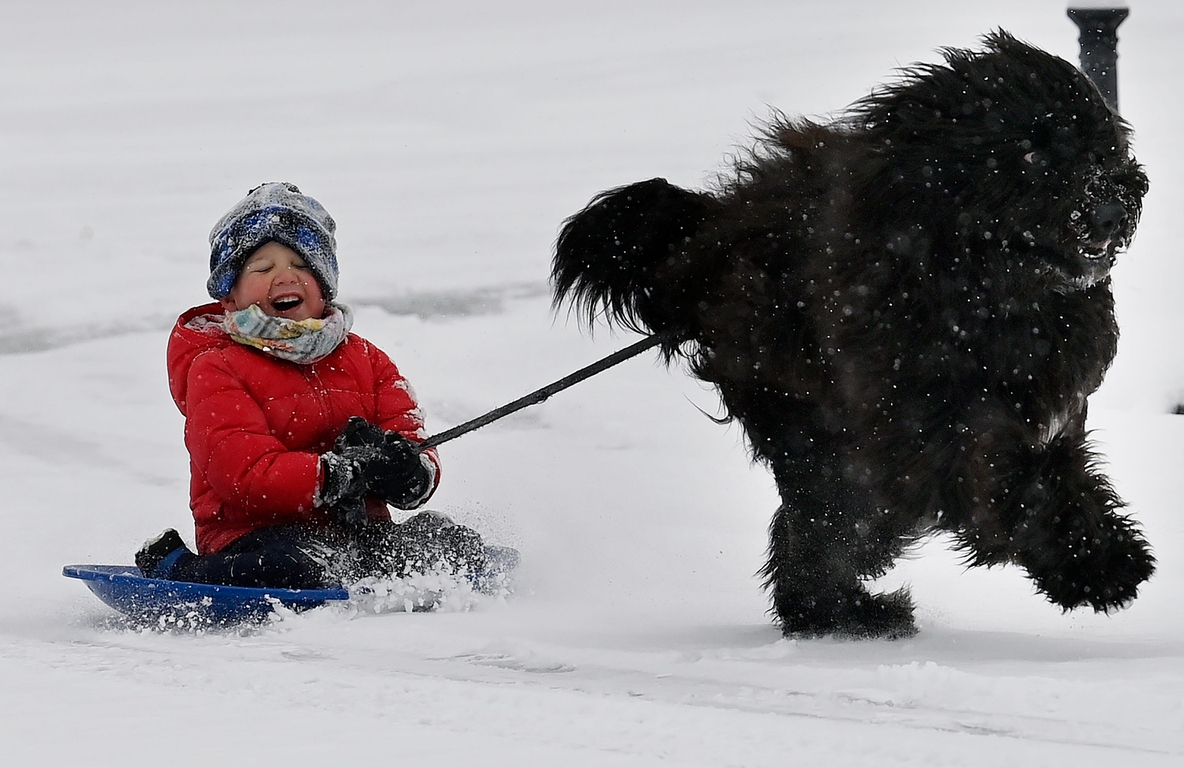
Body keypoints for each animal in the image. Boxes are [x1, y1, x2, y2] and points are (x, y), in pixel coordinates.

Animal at [554, 32, 1155, 639]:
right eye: (1032, 153)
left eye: (1099, 149)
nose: (1109, 209)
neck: (982, 284)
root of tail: (704, 241)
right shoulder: (925, 420)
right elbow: (1004, 477)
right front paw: (1100, 565)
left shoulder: (1049, 406)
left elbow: (1054, 471)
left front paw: (1102, 550)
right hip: (803, 420)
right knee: (823, 519)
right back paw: (837, 610)